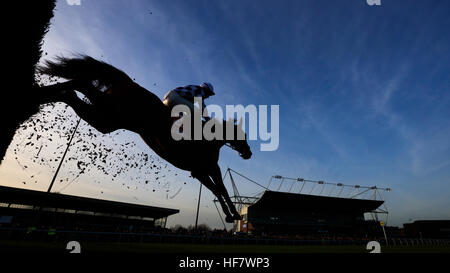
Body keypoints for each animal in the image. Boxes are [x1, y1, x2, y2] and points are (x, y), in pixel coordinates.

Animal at [37, 54, 251, 221]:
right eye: (243, 135)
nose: (248, 153)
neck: (209, 139)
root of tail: (128, 82)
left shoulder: (199, 171)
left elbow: (215, 190)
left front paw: (229, 214)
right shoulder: (208, 167)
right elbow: (221, 189)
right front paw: (234, 214)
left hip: (106, 119)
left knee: (71, 92)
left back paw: (39, 94)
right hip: (107, 112)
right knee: (77, 85)